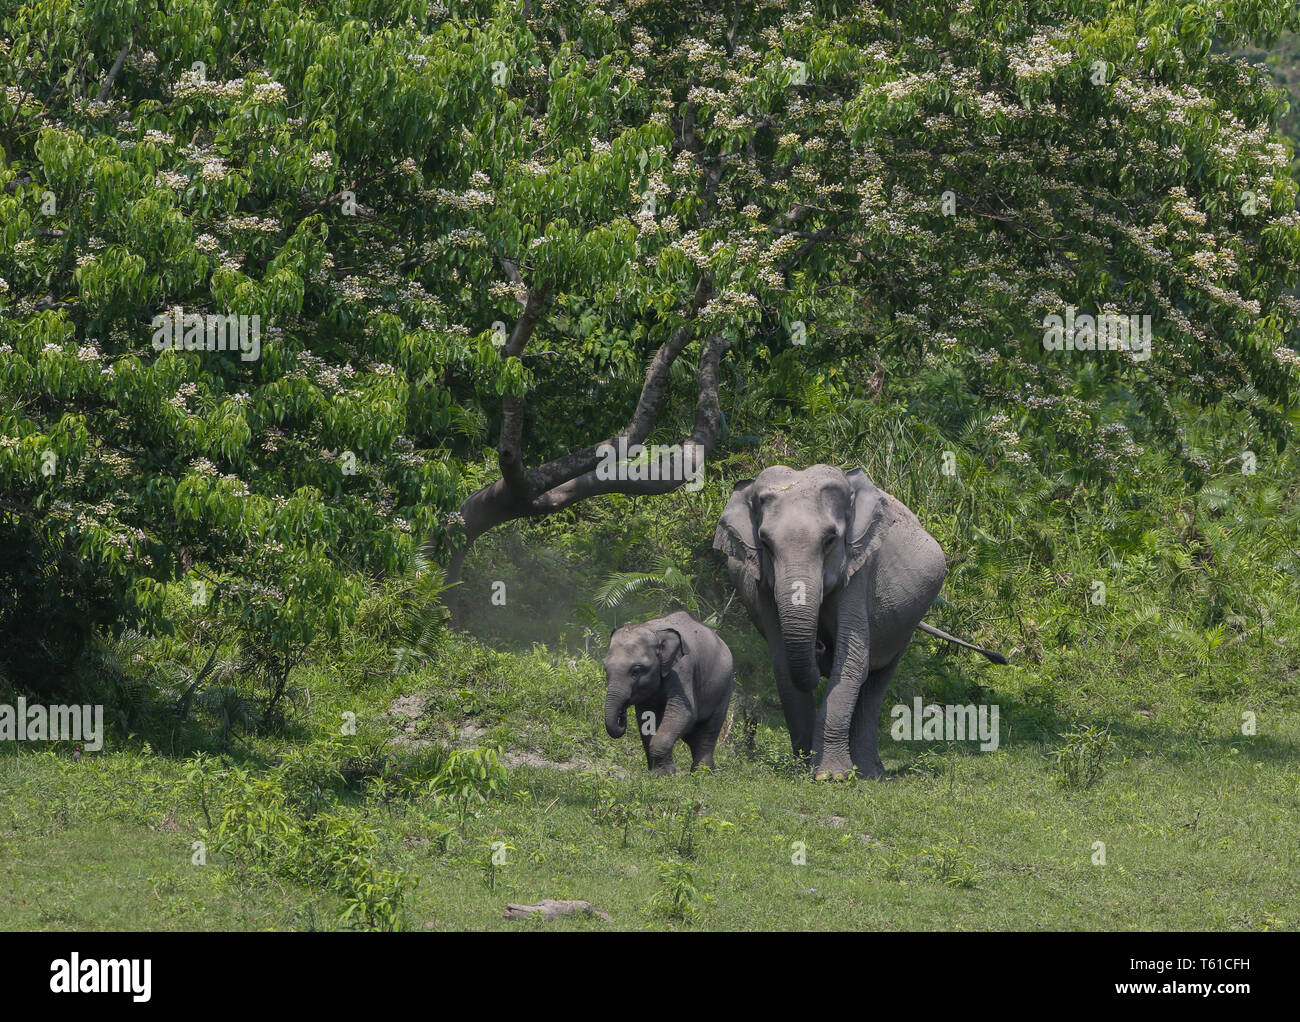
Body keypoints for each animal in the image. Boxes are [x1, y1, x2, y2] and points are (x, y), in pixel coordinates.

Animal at [603, 608, 738, 769]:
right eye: (605, 669)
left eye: (636, 671)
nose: (622, 716)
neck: (655, 631)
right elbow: (646, 717)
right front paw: (657, 772)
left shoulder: (683, 669)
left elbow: (684, 712)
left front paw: (666, 773)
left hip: (724, 689)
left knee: (708, 733)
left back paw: (702, 773)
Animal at [712, 462, 1003, 780]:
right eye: (765, 542)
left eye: (830, 540)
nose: (819, 645)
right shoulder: (762, 583)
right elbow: (783, 665)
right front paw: (804, 771)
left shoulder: (859, 568)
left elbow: (852, 659)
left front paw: (830, 776)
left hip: (906, 626)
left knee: (877, 680)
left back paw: (867, 772)